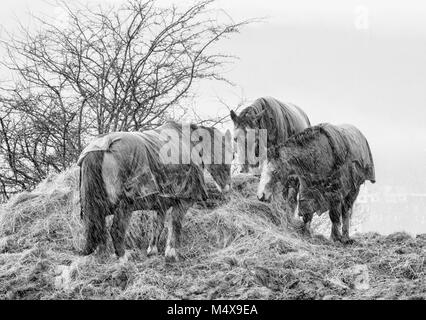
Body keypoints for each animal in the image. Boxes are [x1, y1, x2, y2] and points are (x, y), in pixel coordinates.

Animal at [76, 121, 233, 262]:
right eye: (230, 155)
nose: (227, 187)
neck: (189, 143)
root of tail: (101, 148)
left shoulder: (161, 204)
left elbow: (158, 225)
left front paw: (153, 250)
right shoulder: (184, 200)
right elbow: (175, 224)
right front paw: (172, 253)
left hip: (97, 207)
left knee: (98, 231)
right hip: (125, 203)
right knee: (116, 230)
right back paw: (123, 258)